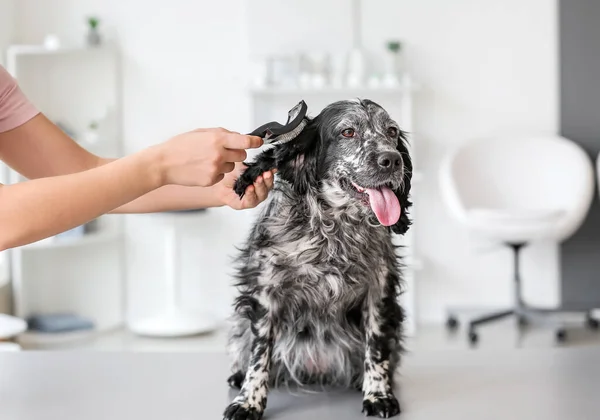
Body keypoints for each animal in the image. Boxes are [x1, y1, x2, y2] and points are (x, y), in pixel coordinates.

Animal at [223, 98, 414, 420]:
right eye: (348, 132)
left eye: (391, 131)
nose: (392, 160)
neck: (334, 231)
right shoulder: (265, 291)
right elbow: (259, 353)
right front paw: (248, 401)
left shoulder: (379, 289)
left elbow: (376, 346)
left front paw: (378, 394)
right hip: (240, 320)